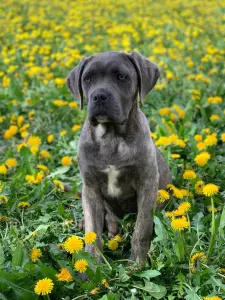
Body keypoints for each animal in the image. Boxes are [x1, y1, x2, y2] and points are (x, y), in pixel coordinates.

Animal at [66, 51, 171, 262]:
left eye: (121, 77)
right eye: (87, 79)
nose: (99, 96)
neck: (111, 138)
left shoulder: (147, 184)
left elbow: (142, 227)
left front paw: (137, 262)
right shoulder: (90, 187)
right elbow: (93, 231)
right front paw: (93, 264)